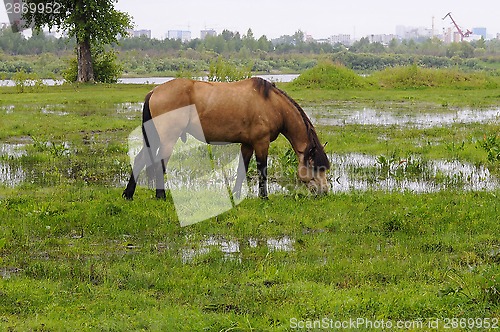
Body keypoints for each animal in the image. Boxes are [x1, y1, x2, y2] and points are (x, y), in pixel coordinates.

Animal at [123, 76, 330, 198]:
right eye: (317, 167)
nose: (325, 191)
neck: (272, 104)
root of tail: (155, 91)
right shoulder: (261, 143)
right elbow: (262, 170)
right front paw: (264, 197)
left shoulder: (247, 144)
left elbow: (242, 169)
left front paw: (236, 195)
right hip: (167, 138)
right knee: (159, 164)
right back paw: (160, 195)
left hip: (154, 137)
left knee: (141, 159)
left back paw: (128, 193)